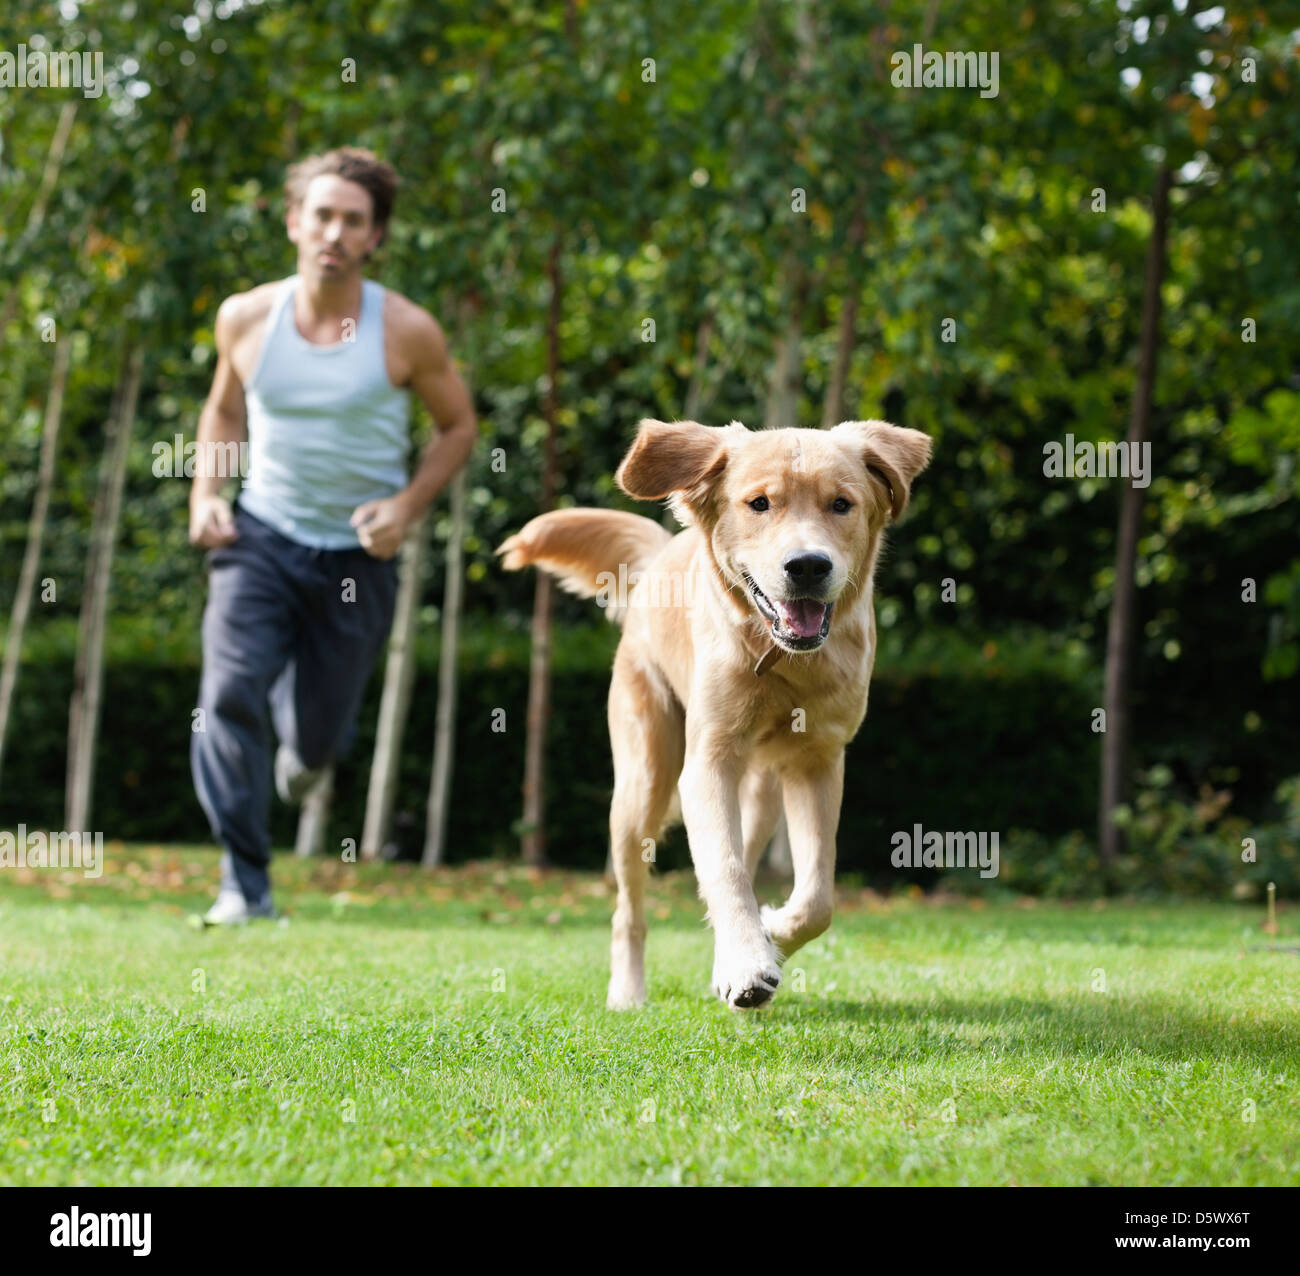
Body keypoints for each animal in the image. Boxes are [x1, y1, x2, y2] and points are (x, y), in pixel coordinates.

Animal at [496, 423, 935, 1013]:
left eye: (841, 504)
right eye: (759, 503)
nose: (808, 565)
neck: (780, 657)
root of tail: (661, 553)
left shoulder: (817, 761)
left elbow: (816, 898)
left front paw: (767, 941)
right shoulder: (706, 763)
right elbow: (724, 869)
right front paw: (748, 965)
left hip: (762, 794)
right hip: (642, 785)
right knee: (630, 910)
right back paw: (629, 991)